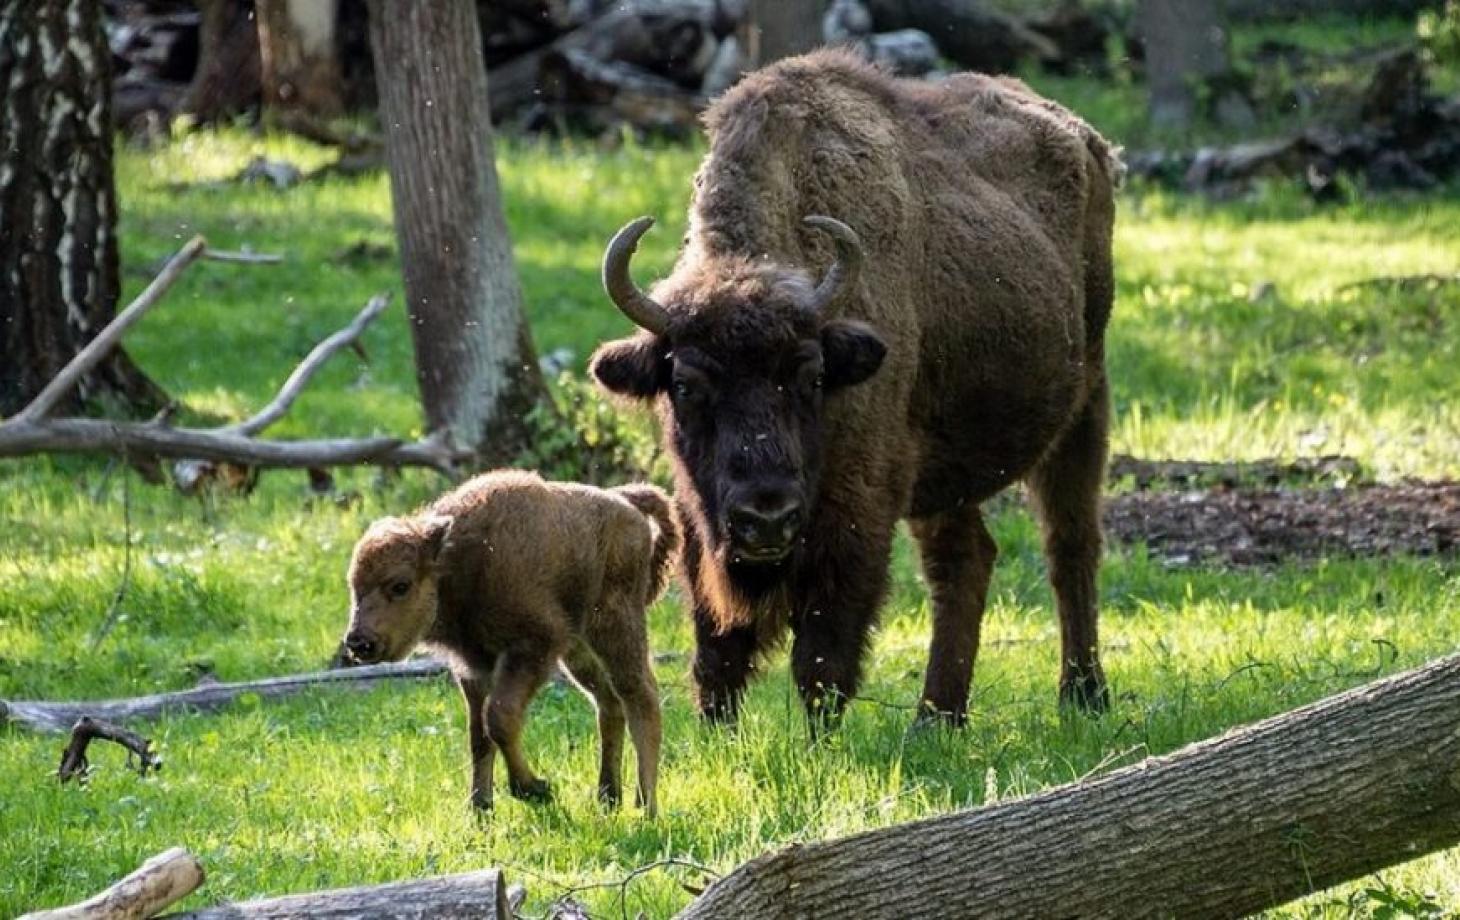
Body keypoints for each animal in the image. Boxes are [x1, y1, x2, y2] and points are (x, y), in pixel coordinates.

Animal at [341, 473, 677, 817]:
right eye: (354, 586)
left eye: (400, 585)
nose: (358, 643)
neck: (461, 561)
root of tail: (626, 503)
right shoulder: (474, 670)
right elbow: (479, 738)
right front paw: (479, 810)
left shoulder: (530, 650)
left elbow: (499, 719)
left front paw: (535, 790)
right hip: (579, 652)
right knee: (608, 704)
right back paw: (608, 799)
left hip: (616, 629)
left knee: (641, 698)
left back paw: (646, 806)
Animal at [586, 50, 1121, 733]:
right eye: (684, 384)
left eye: (812, 376)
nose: (766, 517)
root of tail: (1087, 140)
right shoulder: (697, 517)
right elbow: (718, 649)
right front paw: (717, 736)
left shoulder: (859, 508)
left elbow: (822, 654)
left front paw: (819, 743)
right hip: (944, 468)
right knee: (965, 561)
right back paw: (936, 719)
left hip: (1086, 402)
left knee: (1070, 544)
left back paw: (1082, 695)